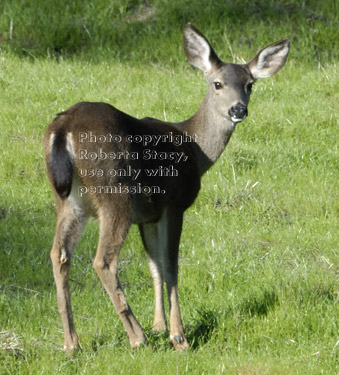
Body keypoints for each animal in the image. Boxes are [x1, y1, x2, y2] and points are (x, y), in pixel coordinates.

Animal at [43, 23, 290, 352]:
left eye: (250, 84)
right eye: (217, 84)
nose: (238, 110)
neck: (196, 150)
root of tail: (64, 126)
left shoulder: (149, 213)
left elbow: (155, 265)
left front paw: (159, 324)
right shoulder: (175, 203)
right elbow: (172, 267)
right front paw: (177, 336)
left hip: (70, 200)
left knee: (59, 253)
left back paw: (73, 343)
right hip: (115, 193)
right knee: (103, 261)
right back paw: (137, 338)